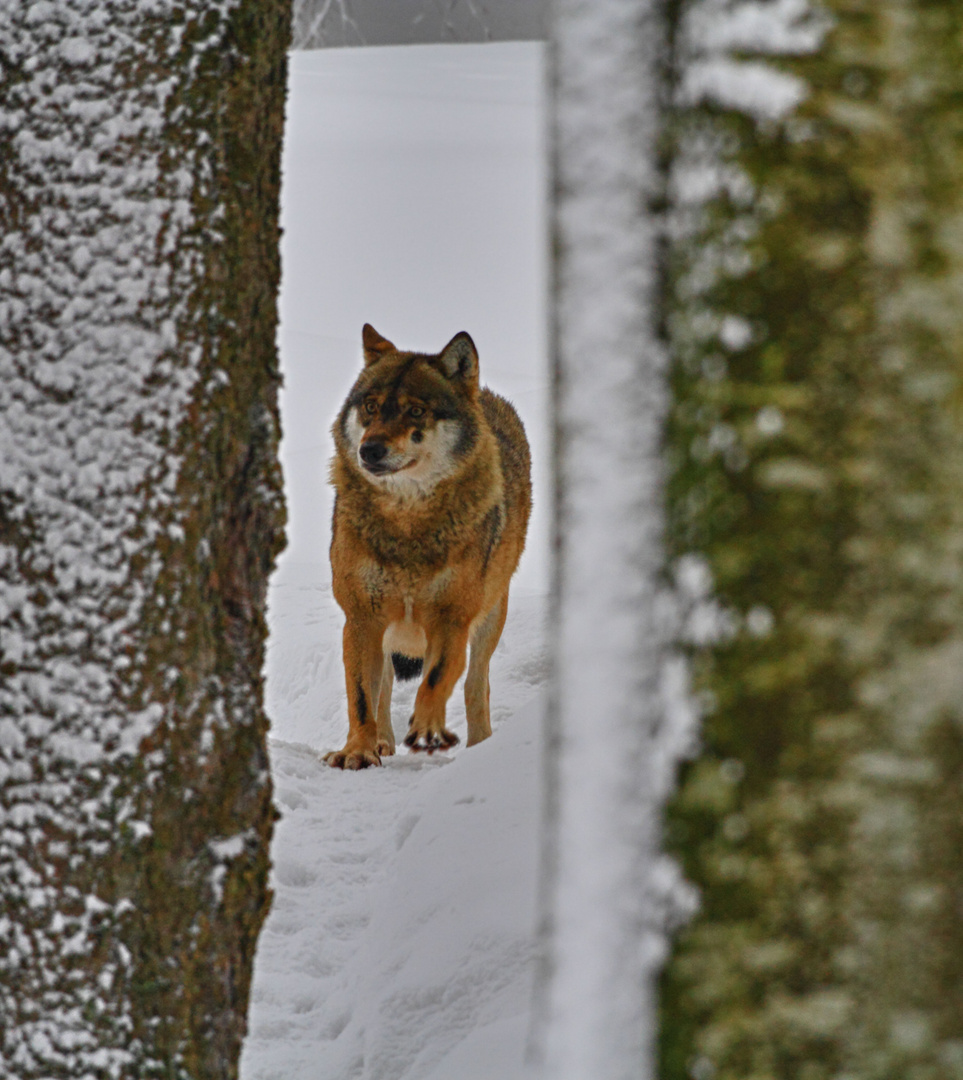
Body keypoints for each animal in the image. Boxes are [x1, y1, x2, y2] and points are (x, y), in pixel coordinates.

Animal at [326, 319, 533, 768]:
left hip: (490, 616)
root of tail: (487, 395)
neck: (407, 524)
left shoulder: (452, 619)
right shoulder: (361, 618)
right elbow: (362, 696)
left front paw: (427, 731)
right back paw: (383, 741)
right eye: (371, 406)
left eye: (416, 411)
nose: (370, 449)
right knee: (386, 683)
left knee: (475, 683)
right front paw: (358, 751)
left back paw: (479, 747)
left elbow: (435, 680)